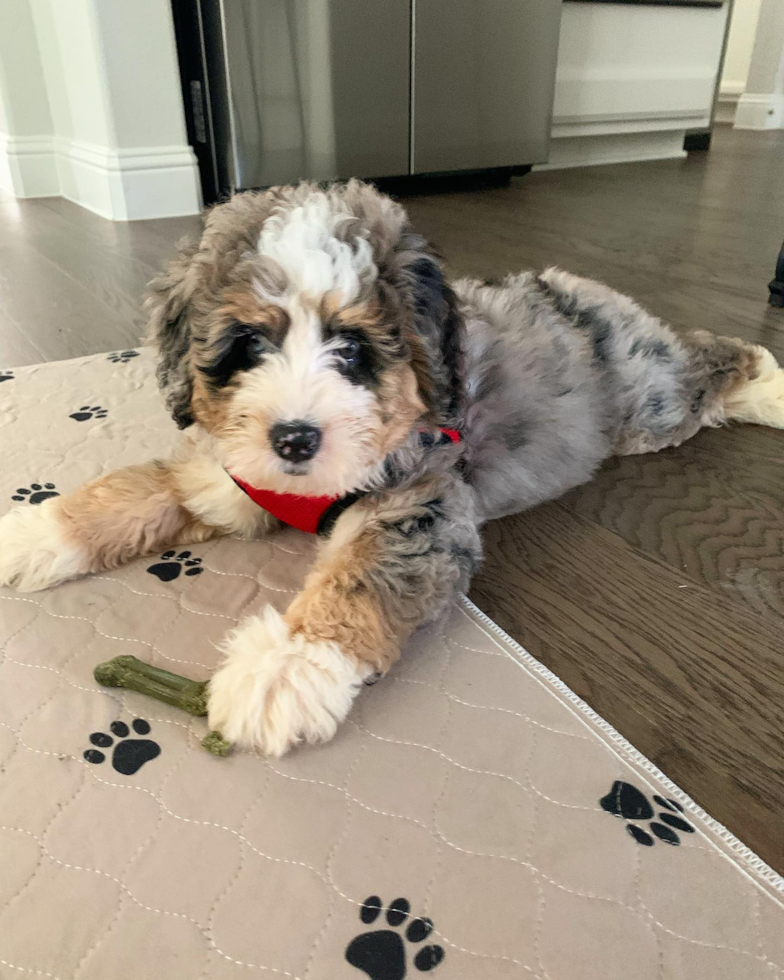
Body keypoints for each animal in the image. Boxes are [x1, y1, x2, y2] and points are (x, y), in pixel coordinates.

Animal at [1, 180, 784, 756]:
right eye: (249, 345)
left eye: (351, 349)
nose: (293, 439)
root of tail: (578, 287)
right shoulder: (222, 478)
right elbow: (130, 493)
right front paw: (36, 534)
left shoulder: (421, 506)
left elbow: (361, 576)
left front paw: (286, 668)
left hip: (651, 404)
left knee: (712, 360)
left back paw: (768, 386)